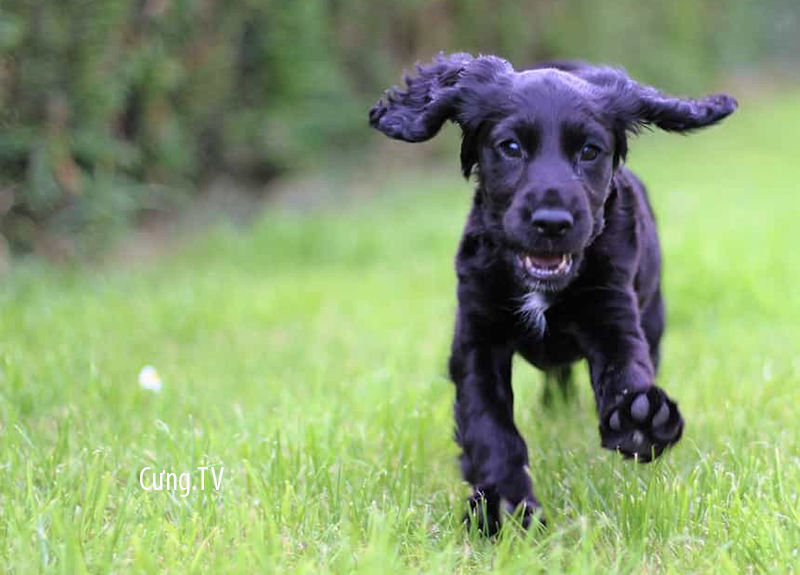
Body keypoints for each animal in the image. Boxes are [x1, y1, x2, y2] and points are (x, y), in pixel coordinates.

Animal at [368, 55, 736, 536]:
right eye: (509, 147)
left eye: (590, 151)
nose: (552, 222)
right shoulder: (476, 337)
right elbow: (490, 426)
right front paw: (504, 509)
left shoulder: (612, 311)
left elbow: (625, 369)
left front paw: (640, 420)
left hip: (653, 312)